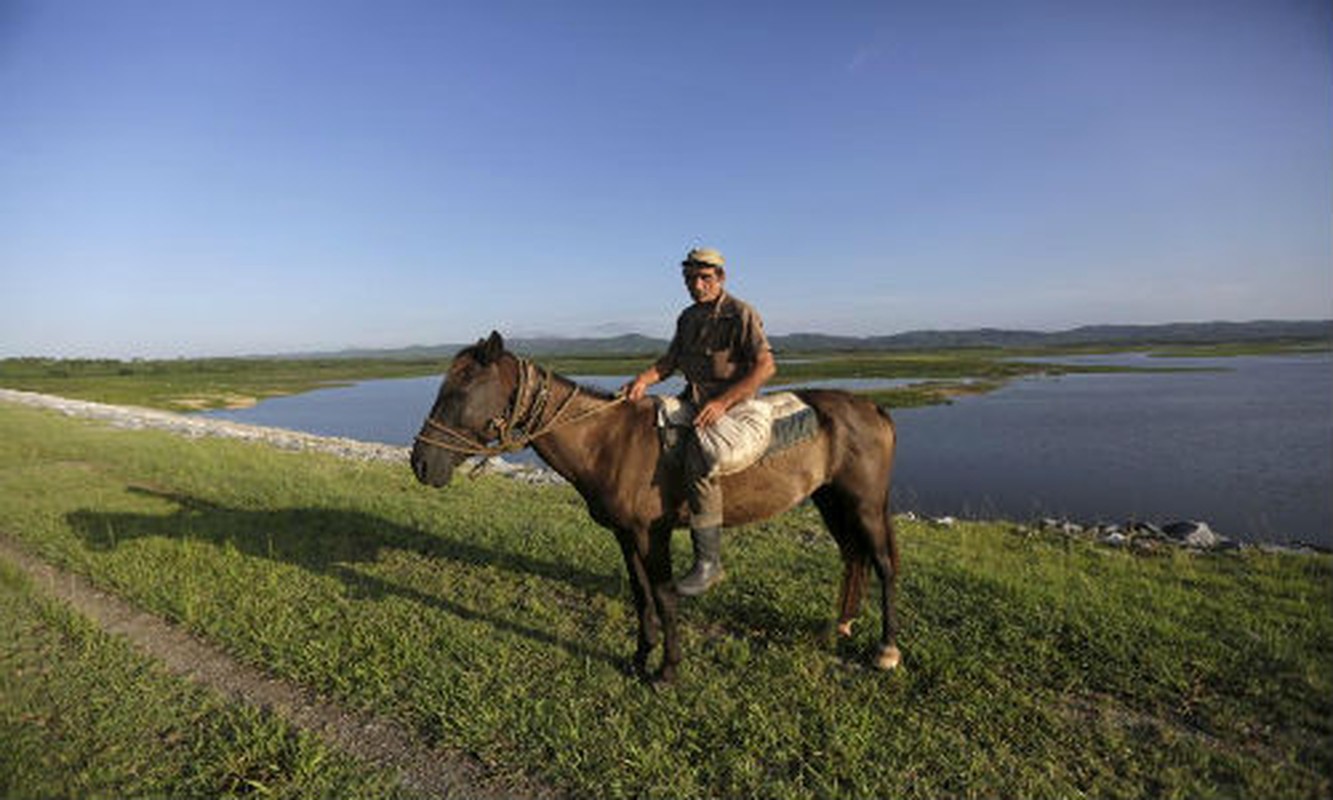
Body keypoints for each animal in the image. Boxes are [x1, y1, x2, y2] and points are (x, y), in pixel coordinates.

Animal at [410, 329, 901, 680]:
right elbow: (640, 594)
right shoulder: (626, 535)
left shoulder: (653, 534)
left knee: (882, 563)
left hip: (864, 504)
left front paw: (667, 669)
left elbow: (664, 597)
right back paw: (840, 626)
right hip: (830, 499)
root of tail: (872, 407)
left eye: (458, 392)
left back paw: (886, 650)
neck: (609, 441)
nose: (420, 462)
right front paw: (639, 656)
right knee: (853, 555)